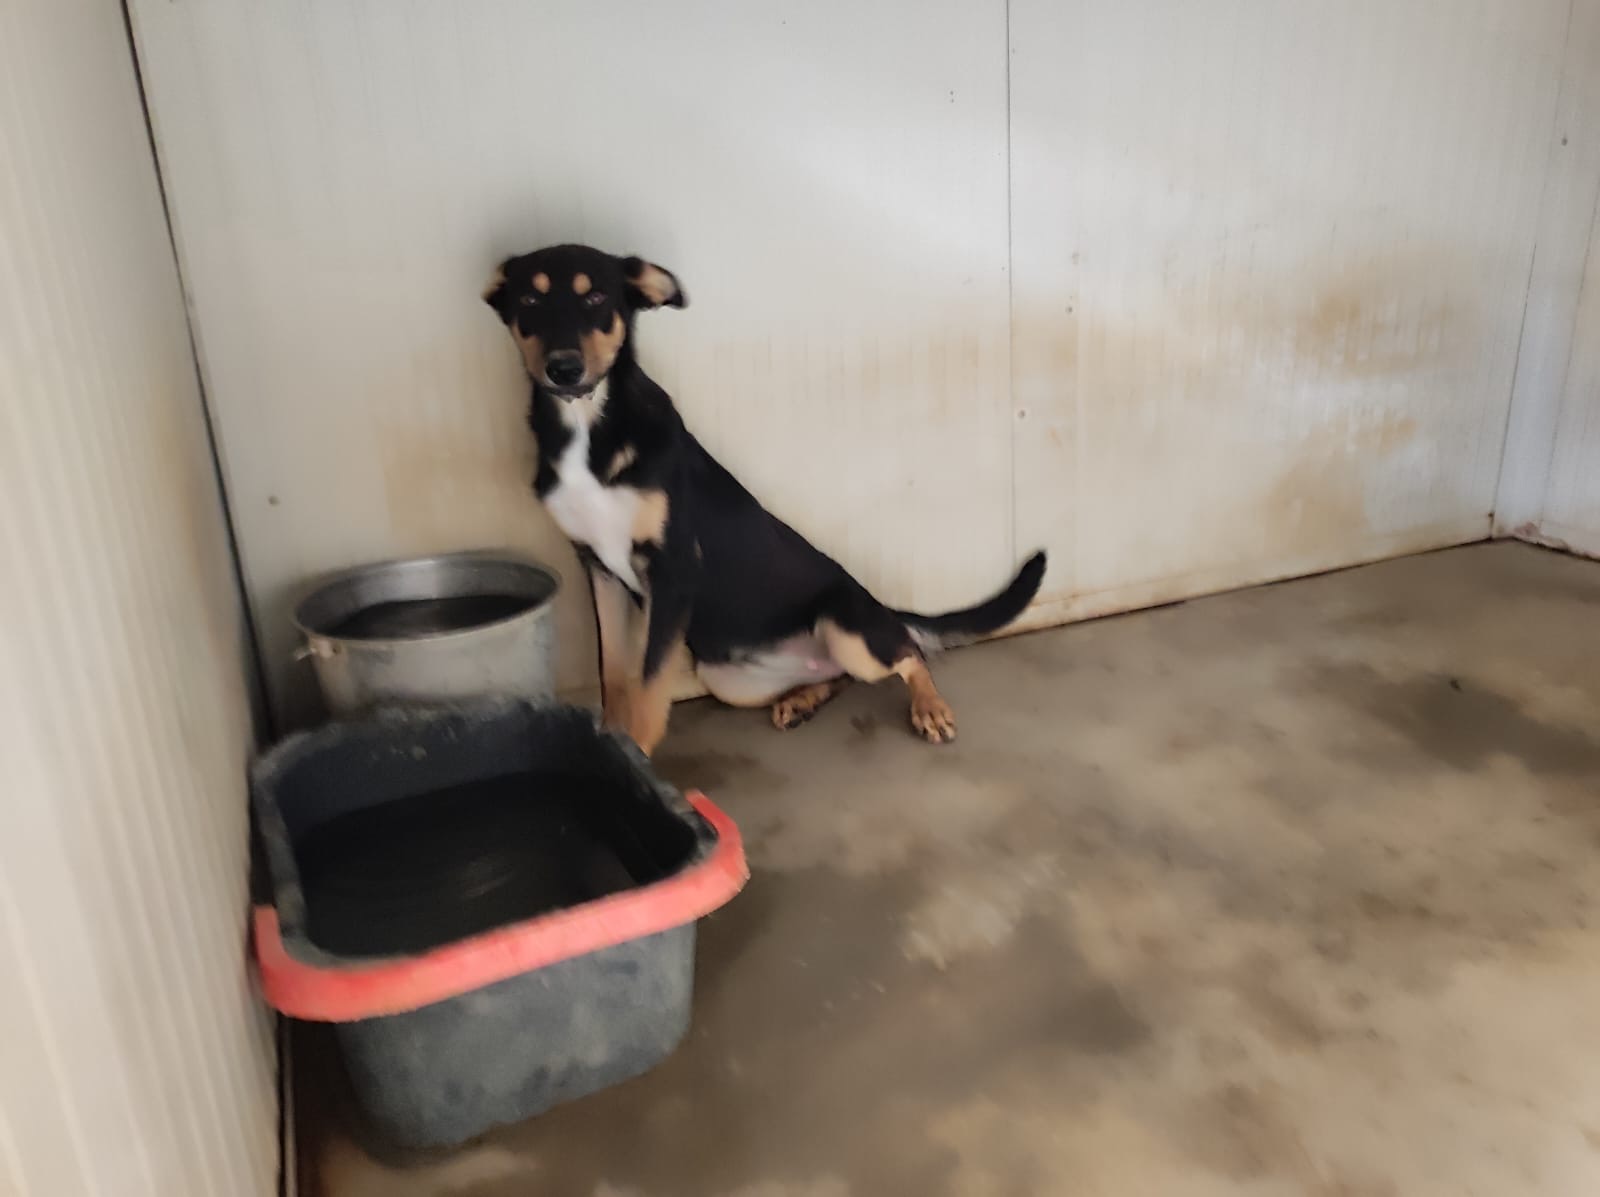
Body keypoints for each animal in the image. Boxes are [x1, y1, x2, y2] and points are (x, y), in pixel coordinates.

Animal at [485, 244, 1046, 755]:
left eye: (597, 296)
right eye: (529, 299)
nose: (563, 369)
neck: (588, 424)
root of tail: (882, 607)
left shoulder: (673, 570)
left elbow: (647, 685)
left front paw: (637, 753)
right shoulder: (599, 570)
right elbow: (615, 675)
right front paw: (614, 745)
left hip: (847, 629)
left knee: (910, 654)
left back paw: (929, 707)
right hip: (728, 678)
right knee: (839, 675)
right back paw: (801, 701)